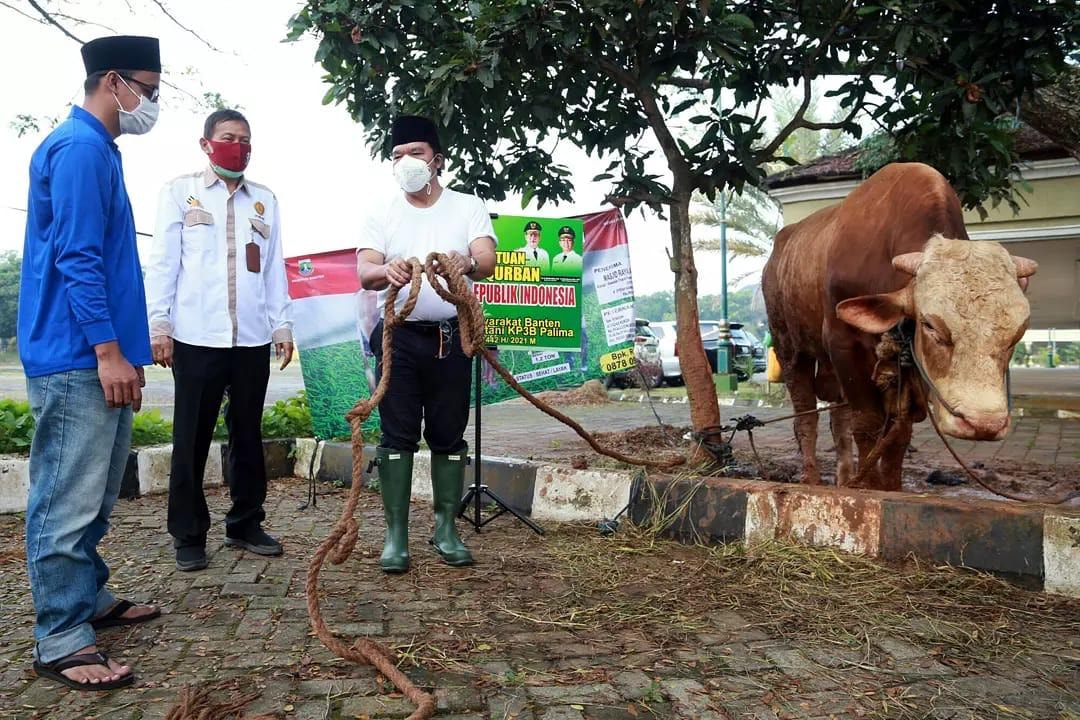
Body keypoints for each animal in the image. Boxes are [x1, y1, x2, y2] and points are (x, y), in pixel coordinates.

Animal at [764, 162, 1032, 490]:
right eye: (930, 325)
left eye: (1017, 333)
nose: (983, 423)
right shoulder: (843, 345)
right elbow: (867, 423)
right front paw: (868, 486)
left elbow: (898, 435)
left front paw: (890, 487)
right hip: (790, 347)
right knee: (806, 415)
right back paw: (812, 477)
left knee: (838, 421)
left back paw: (844, 478)